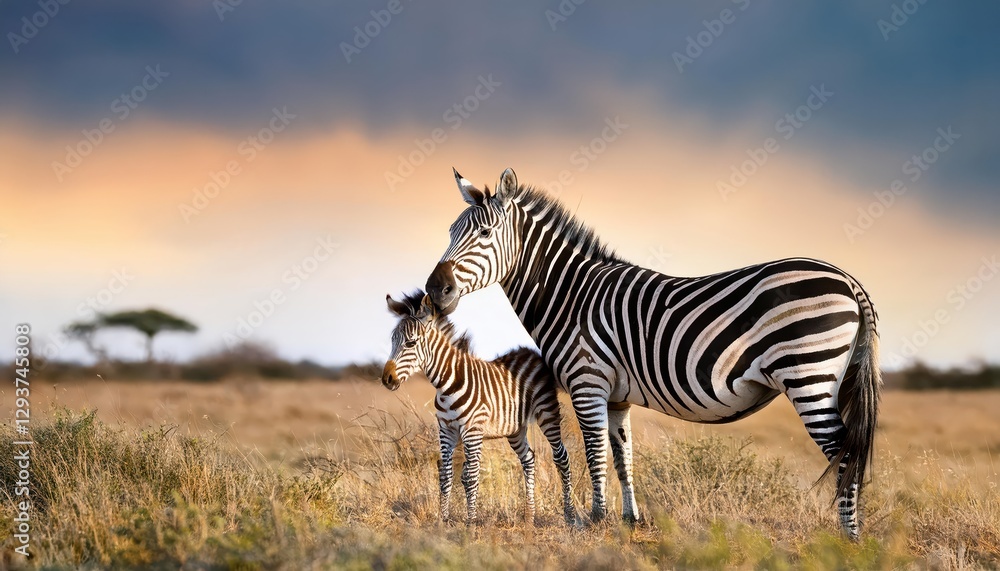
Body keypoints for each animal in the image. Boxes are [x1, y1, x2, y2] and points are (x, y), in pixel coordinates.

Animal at [381, 290, 576, 525]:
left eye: (410, 343)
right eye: (392, 340)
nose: (386, 379)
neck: (447, 383)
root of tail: (532, 352)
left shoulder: (472, 430)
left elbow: (471, 475)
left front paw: (471, 523)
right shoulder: (446, 430)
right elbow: (446, 474)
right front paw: (442, 521)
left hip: (547, 412)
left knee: (561, 456)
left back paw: (570, 516)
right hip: (514, 428)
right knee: (528, 458)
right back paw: (529, 516)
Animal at [424, 167, 881, 540]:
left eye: (485, 235)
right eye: (449, 233)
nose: (433, 290)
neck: (571, 297)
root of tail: (848, 280)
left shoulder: (587, 382)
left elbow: (594, 454)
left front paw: (596, 521)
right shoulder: (616, 396)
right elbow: (622, 456)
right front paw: (630, 520)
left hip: (808, 376)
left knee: (843, 452)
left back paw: (849, 538)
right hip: (837, 380)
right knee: (851, 451)